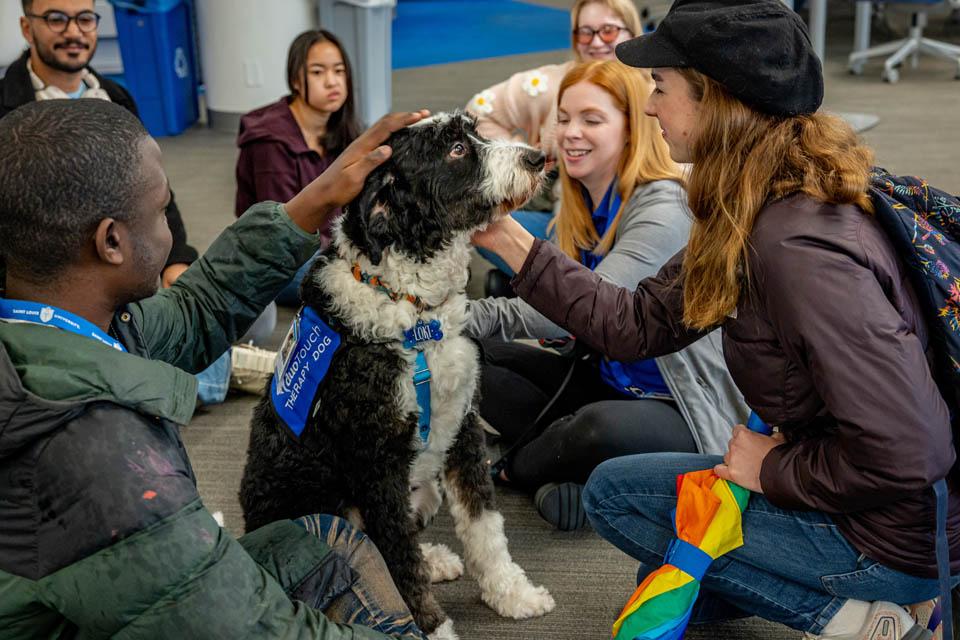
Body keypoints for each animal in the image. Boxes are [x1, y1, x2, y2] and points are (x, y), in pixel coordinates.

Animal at [240, 112, 556, 636]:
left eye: (475, 131)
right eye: (455, 150)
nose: (538, 157)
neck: (415, 313)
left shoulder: (463, 426)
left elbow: (484, 528)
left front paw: (512, 593)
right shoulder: (377, 461)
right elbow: (399, 559)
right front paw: (434, 627)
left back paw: (437, 559)